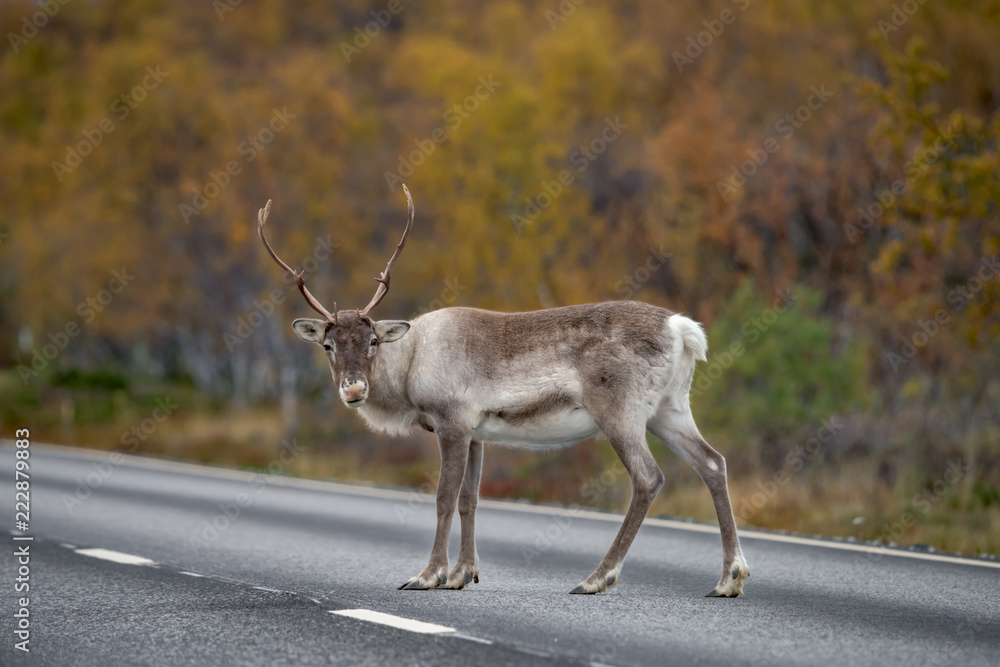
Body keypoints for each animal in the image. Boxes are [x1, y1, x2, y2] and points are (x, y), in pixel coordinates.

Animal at [255, 185, 750, 596]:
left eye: (373, 340)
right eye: (328, 345)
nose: (354, 388)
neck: (411, 365)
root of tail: (683, 329)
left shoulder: (452, 423)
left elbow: (444, 497)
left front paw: (428, 575)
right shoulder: (477, 433)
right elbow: (470, 500)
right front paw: (462, 574)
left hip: (620, 413)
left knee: (648, 477)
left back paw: (596, 578)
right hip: (670, 409)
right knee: (714, 462)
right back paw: (729, 578)